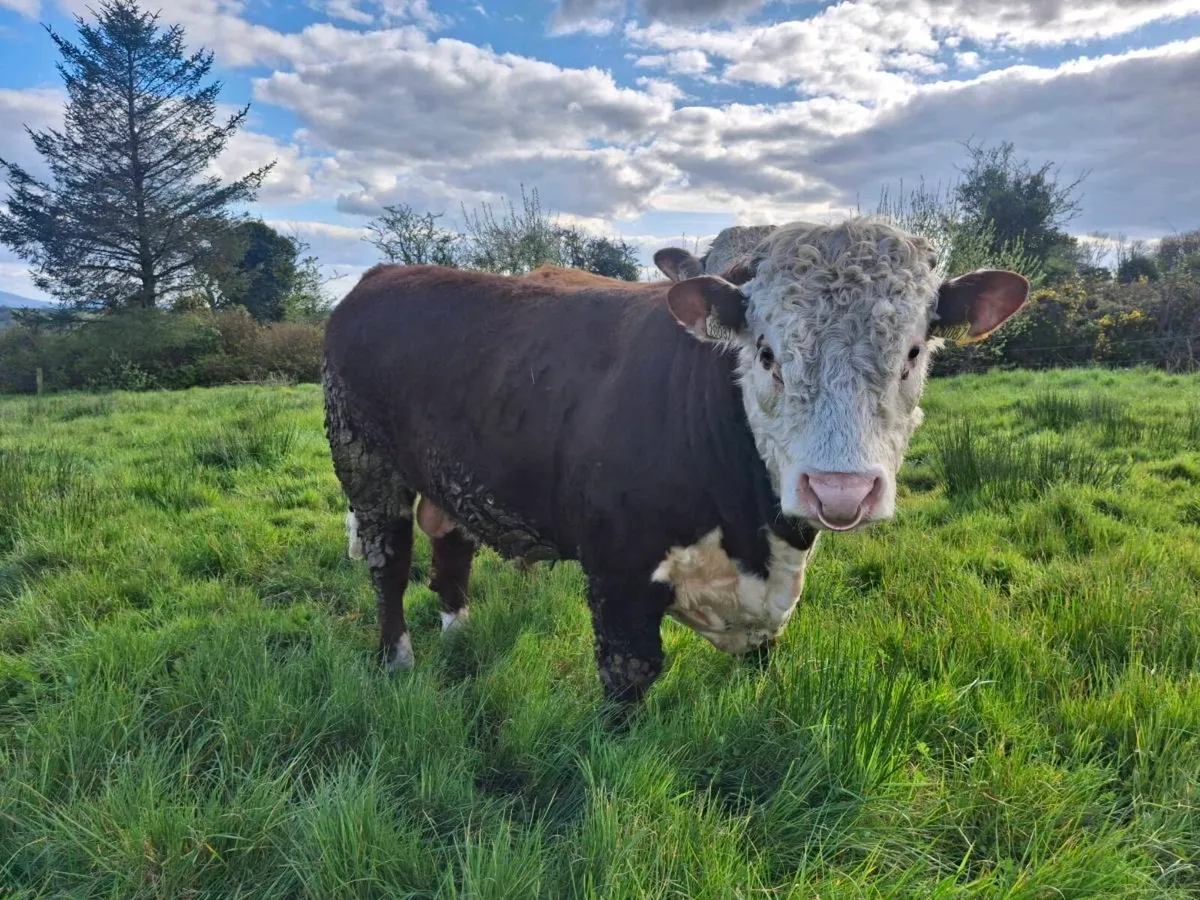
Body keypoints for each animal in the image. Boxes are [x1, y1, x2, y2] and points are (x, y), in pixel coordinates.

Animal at [322, 216, 1028, 713]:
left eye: (913, 352)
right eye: (766, 352)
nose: (840, 490)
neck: (754, 531)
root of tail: (382, 275)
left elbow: (760, 665)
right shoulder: (617, 571)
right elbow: (629, 678)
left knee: (451, 545)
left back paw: (460, 634)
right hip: (365, 461)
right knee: (389, 562)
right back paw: (398, 660)